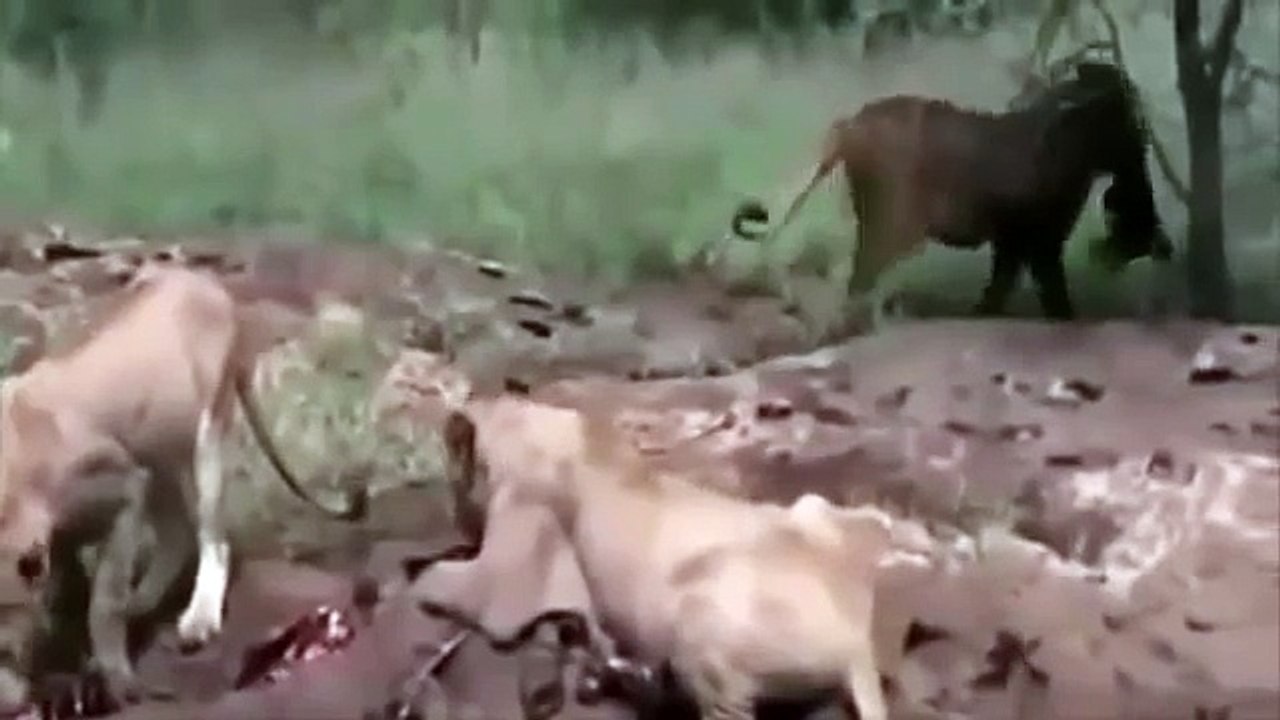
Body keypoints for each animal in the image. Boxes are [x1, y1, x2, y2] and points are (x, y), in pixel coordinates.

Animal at [0, 266, 367, 704]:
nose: (9, 701)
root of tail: (202, 278)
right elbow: (69, 584)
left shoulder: (125, 489)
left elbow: (104, 602)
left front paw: (117, 677)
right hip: (162, 452)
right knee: (176, 529)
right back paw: (143, 601)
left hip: (202, 441)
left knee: (211, 537)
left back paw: (196, 618)